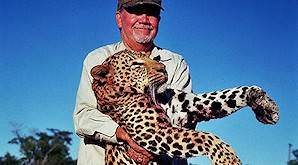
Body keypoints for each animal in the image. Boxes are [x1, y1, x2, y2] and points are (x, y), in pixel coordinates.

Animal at [91, 49, 280, 165]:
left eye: (150, 57)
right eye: (136, 64)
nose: (163, 68)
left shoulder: (188, 105)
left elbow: (230, 94)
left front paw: (266, 106)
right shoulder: (158, 133)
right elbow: (206, 137)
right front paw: (229, 159)